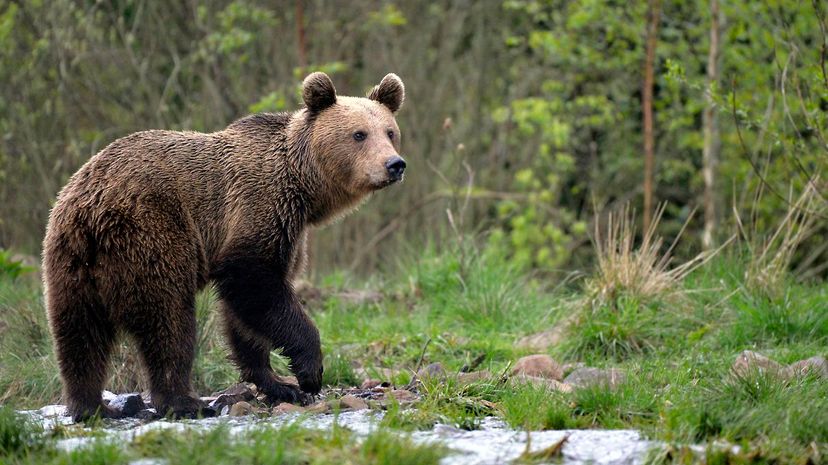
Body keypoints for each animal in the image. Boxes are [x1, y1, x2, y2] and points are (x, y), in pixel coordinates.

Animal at [41, 72, 406, 421]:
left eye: (390, 132)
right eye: (359, 134)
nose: (395, 164)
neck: (303, 188)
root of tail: (91, 208)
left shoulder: (288, 231)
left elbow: (245, 315)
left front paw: (278, 383)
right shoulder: (258, 210)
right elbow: (256, 285)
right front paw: (308, 373)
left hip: (70, 261)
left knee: (79, 335)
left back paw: (90, 406)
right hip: (151, 234)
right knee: (169, 321)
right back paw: (183, 401)